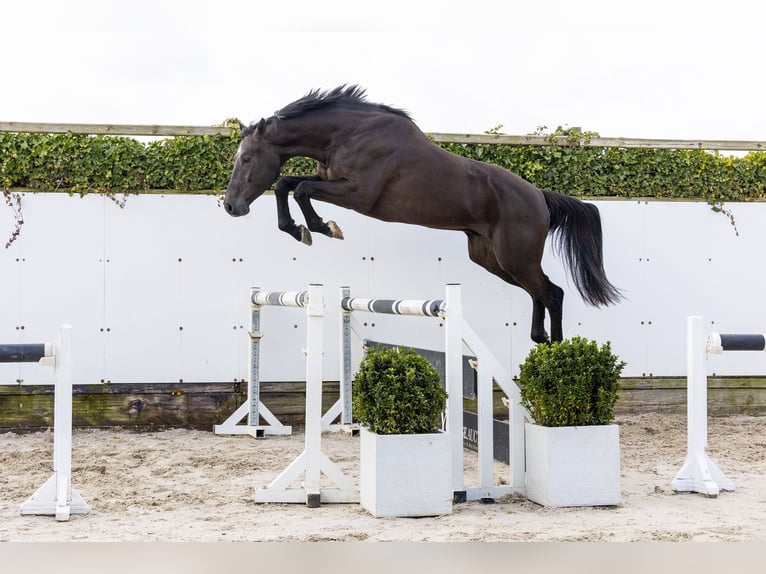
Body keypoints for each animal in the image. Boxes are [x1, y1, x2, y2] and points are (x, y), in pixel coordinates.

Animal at [224, 85, 621, 343]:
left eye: (247, 158)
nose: (230, 205)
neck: (346, 134)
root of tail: (538, 195)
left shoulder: (357, 194)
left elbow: (300, 189)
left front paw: (321, 227)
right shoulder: (330, 180)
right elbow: (286, 183)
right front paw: (299, 229)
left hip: (515, 258)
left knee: (553, 293)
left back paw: (557, 349)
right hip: (493, 260)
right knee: (540, 292)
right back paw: (539, 339)